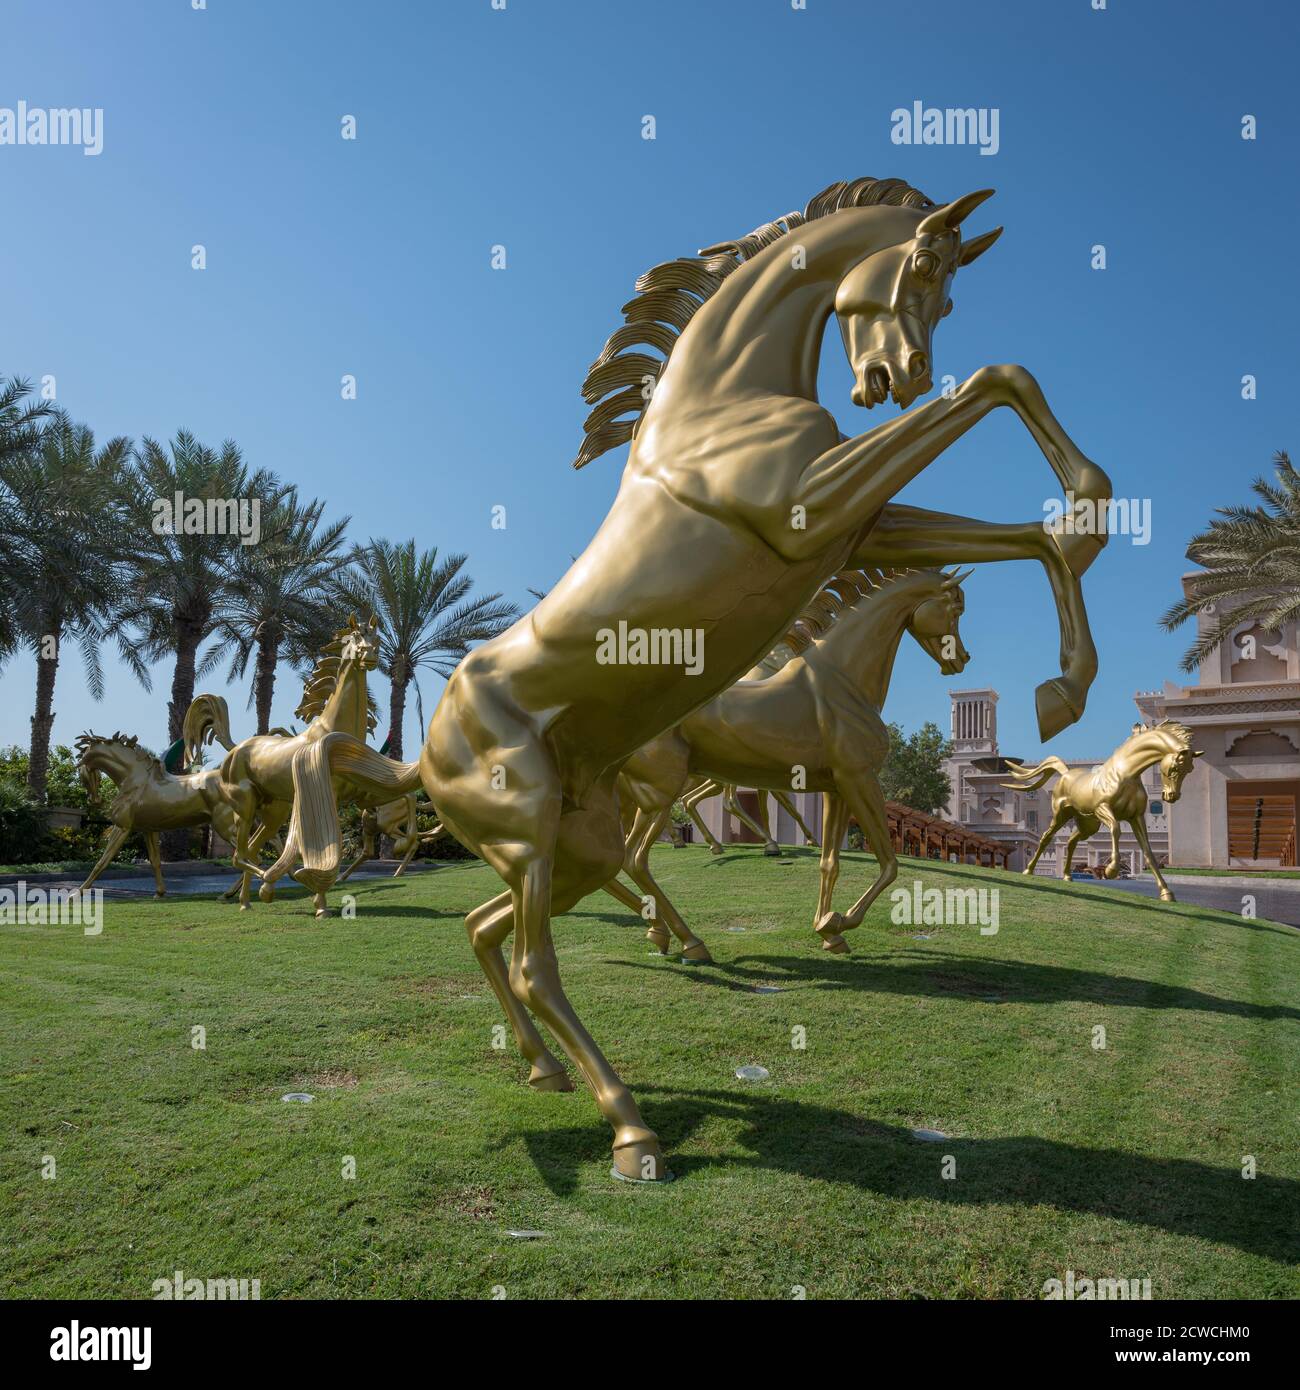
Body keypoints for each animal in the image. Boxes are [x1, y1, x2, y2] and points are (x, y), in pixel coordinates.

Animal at [279, 170, 1112, 1173]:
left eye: (950, 295)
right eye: (919, 266)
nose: (898, 377)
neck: (719, 404)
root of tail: (427, 745)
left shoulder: (855, 532)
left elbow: (1017, 530)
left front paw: (1067, 670)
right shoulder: (810, 510)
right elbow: (995, 382)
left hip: (573, 845)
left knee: (492, 929)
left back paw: (551, 1064)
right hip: (532, 832)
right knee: (534, 958)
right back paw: (631, 1123)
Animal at [1012, 717, 1206, 900]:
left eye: (1190, 769)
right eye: (1174, 768)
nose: (1171, 796)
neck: (1126, 774)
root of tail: (1065, 772)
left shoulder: (1137, 817)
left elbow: (1148, 852)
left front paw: (1166, 893)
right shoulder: (1103, 809)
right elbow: (1116, 829)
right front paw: (1111, 870)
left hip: (1088, 824)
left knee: (1071, 841)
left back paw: (1067, 876)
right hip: (1062, 815)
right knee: (1046, 837)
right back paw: (1028, 870)